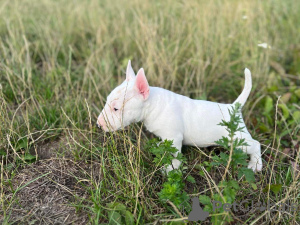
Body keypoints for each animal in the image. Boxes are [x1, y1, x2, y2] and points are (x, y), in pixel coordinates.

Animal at [98, 59, 262, 172]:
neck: (153, 104)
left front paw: (171, 169)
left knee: (255, 144)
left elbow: (175, 155)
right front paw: (160, 146)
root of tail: (234, 107)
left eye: (116, 108)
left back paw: (255, 165)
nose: (99, 124)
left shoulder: (174, 137)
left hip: (237, 140)